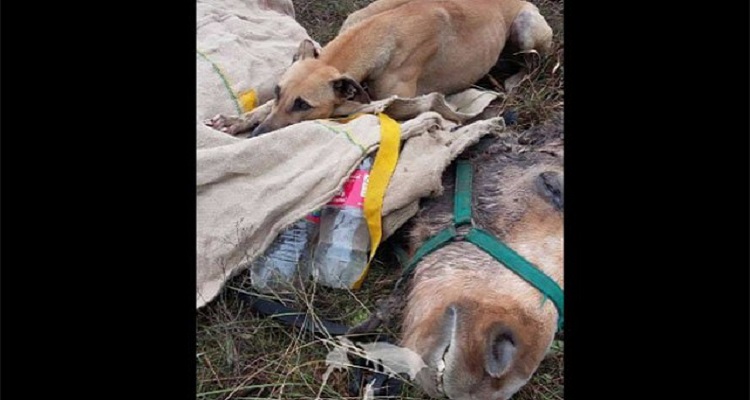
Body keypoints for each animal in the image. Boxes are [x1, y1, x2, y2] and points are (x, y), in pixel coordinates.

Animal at [206, 0, 552, 137]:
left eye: (303, 105)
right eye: (278, 92)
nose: (257, 136)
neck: (380, 30)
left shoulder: (392, 101)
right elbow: (263, 108)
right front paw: (236, 120)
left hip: (527, 27)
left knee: (534, 62)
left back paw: (513, 79)